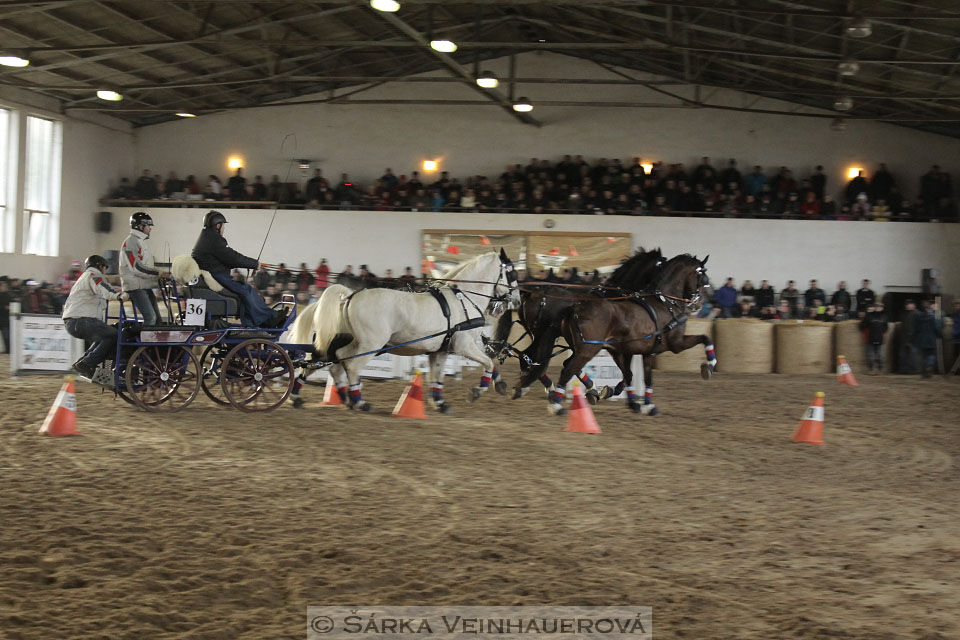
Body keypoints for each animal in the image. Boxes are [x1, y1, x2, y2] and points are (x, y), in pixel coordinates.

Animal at [552, 256, 716, 420]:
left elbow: (639, 376)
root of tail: (575, 308)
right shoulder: (676, 344)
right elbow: (705, 338)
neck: (665, 302)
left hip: (581, 348)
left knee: (569, 365)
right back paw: (557, 406)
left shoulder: (642, 352)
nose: (699, 304)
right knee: (568, 370)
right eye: (702, 278)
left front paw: (642, 404)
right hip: (588, 349)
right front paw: (709, 365)